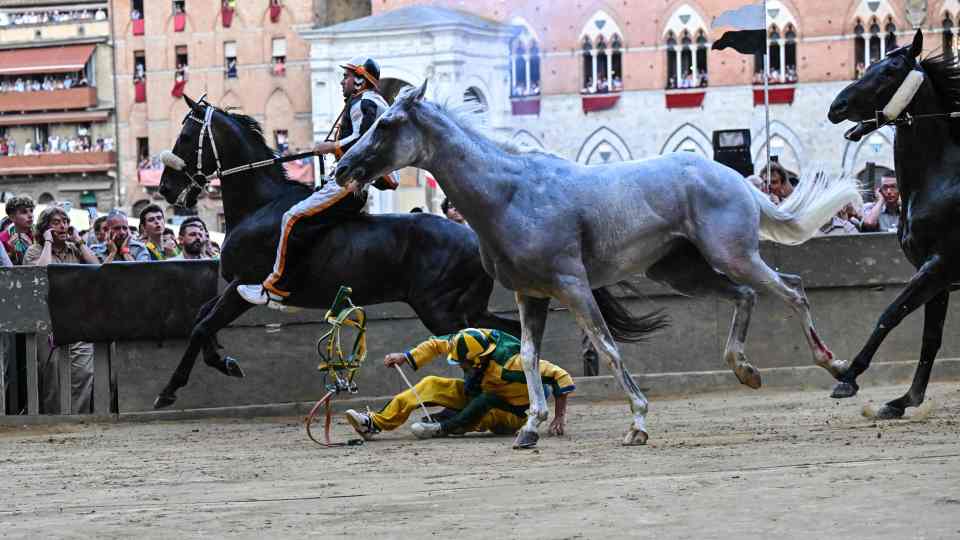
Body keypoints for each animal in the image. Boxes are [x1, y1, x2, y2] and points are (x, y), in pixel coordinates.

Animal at [154, 96, 520, 410]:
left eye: (185, 136)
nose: (166, 188)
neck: (259, 205)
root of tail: (477, 240)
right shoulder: (236, 287)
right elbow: (202, 316)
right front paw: (223, 360)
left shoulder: (245, 286)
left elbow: (202, 326)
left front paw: (169, 389)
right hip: (468, 308)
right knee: (508, 331)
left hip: (441, 310)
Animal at [334, 83, 860, 448]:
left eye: (385, 125)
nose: (342, 169)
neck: (511, 194)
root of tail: (732, 177)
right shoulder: (531, 294)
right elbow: (528, 355)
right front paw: (531, 427)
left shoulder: (573, 286)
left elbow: (608, 348)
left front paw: (638, 423)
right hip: (683, 271)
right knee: (748, 295)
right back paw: (745, 370)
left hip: (734, 255)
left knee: (792, 289)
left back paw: (835, 366)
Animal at [824, 29, 960, 418]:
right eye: (870, 63)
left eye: (889, 71)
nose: (836, 107)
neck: (940, 180)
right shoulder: (936, 277)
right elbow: (931, 338)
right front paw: (904, 400)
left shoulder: (939, 266)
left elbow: (890, 313)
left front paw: (848, 376)